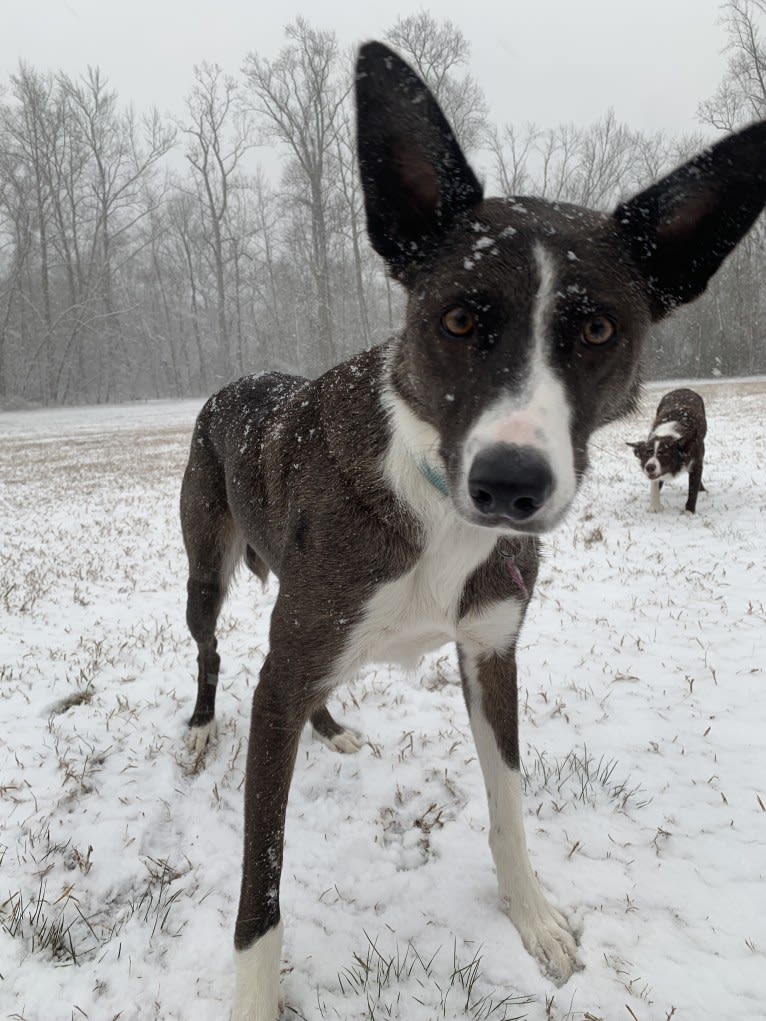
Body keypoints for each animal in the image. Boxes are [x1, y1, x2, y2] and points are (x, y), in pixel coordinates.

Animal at [629, 390, 706, 518]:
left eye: (664, 453)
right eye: (647, 454)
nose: (649, 467)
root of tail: (683, 389)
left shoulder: (696, 462)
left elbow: (693, 488)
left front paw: (689, 511)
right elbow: (655, 484)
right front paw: (654, 507)